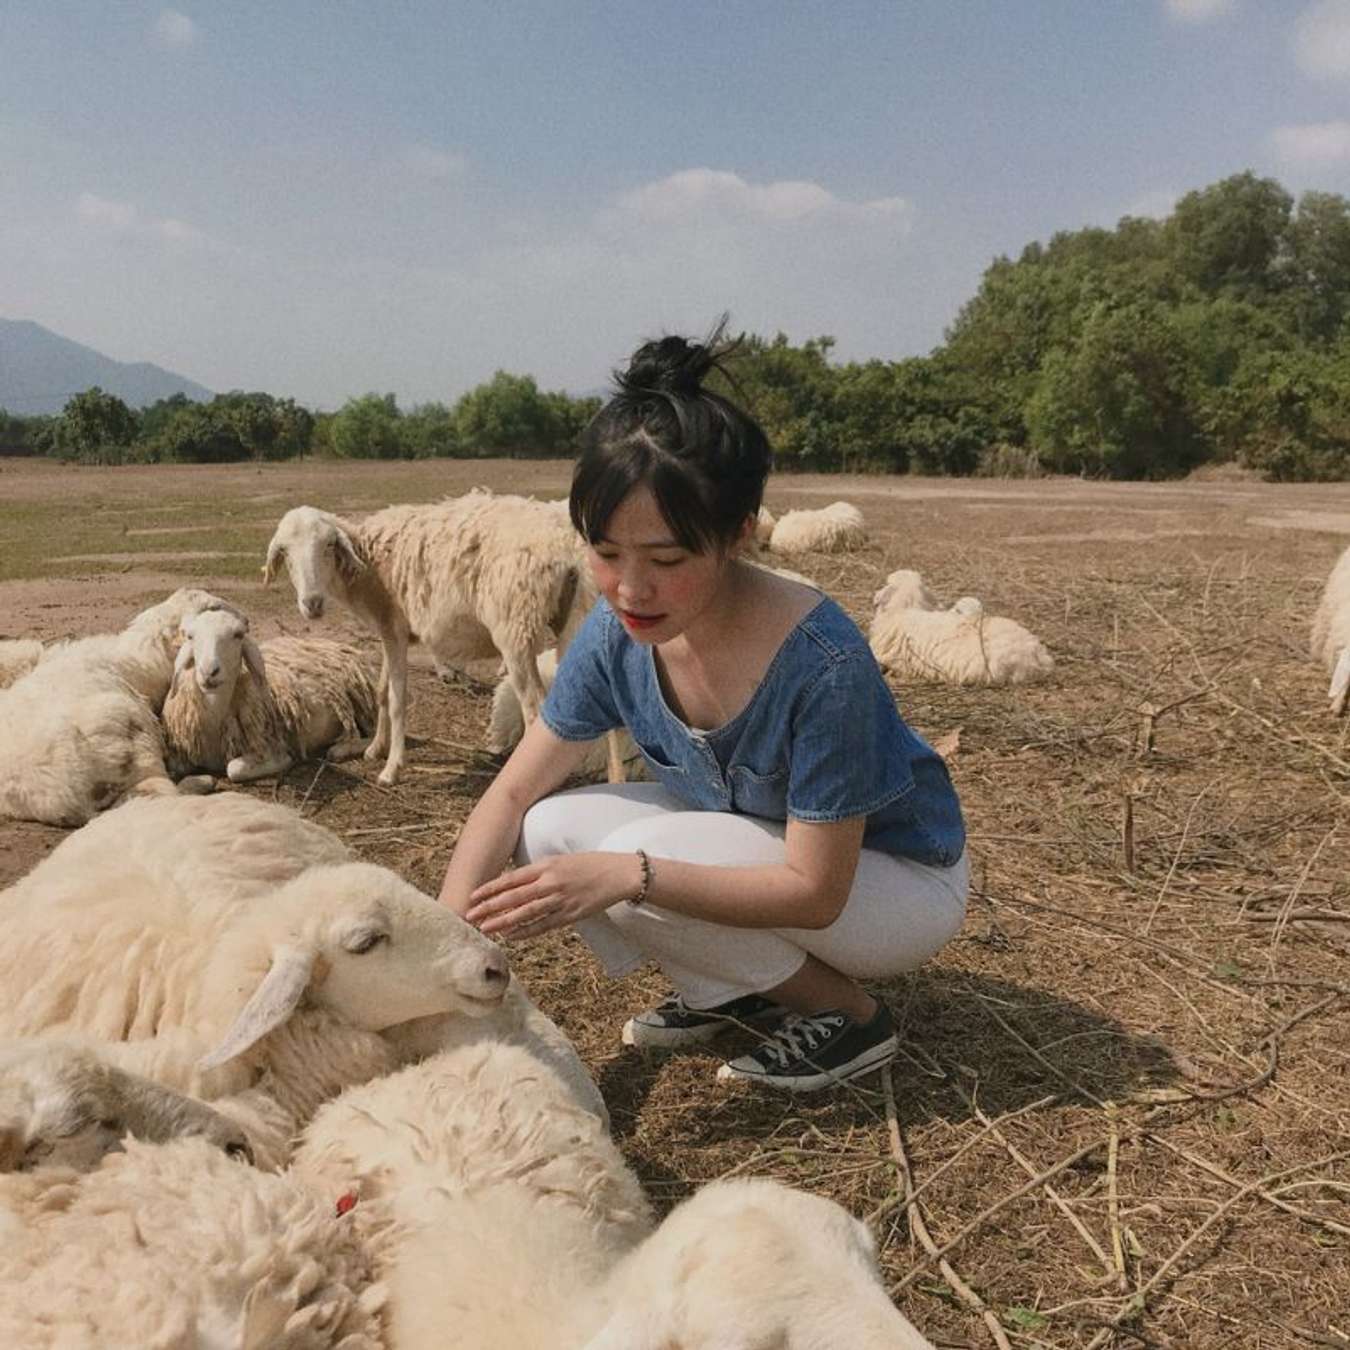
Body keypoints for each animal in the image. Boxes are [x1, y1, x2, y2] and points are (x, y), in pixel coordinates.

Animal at [162, 607, 378, 788]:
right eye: (190, 636)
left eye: (238, 635)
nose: (209, 672)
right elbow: (176, 765)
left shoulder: (270, 746)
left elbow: (234, 769)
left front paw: (284, 761)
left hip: (362, 698)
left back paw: (341, 749)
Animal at [264, 488, 602, 783]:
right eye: (284, 552)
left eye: (329, 546)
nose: (312, 604)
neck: (367, 563)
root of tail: (562, 545)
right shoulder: (389, 632)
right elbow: (381, 691)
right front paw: (375, 748)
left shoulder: (394, 629)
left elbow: (397, 700)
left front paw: (391, 769)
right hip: (575, 619)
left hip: (514, 629)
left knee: (534, 712)